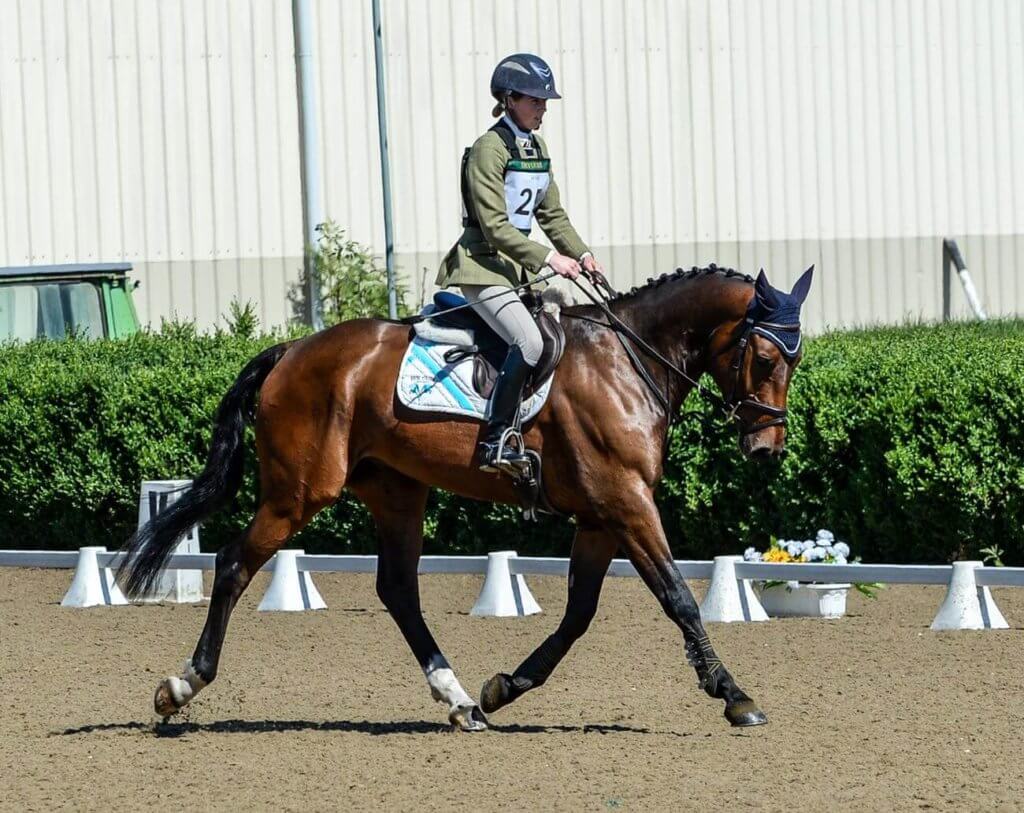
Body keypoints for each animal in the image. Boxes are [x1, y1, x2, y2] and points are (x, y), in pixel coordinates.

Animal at [118, 263, 814, 731]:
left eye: (795, 362)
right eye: (763, 358)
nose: (766, 448)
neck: (625, 362)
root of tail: (292, 350)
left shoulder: (600, 517)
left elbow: (579, 614)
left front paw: (505, 687)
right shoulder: (626, 503)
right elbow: (678, 598)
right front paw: (734, 696)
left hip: (398, 491)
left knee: (398, 589)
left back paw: (459, 700)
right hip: (299, 493)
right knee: (235, 563)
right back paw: (181, 686)